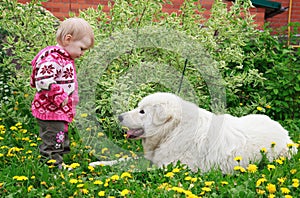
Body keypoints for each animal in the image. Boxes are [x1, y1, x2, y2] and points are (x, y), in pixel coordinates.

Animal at [90, 92, 296, 172]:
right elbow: (125, 160)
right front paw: (98, 163)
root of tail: (285, 134)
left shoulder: (171, 167)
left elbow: (132, 168)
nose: (119, 117)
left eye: (142, 111)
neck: (172, 131)